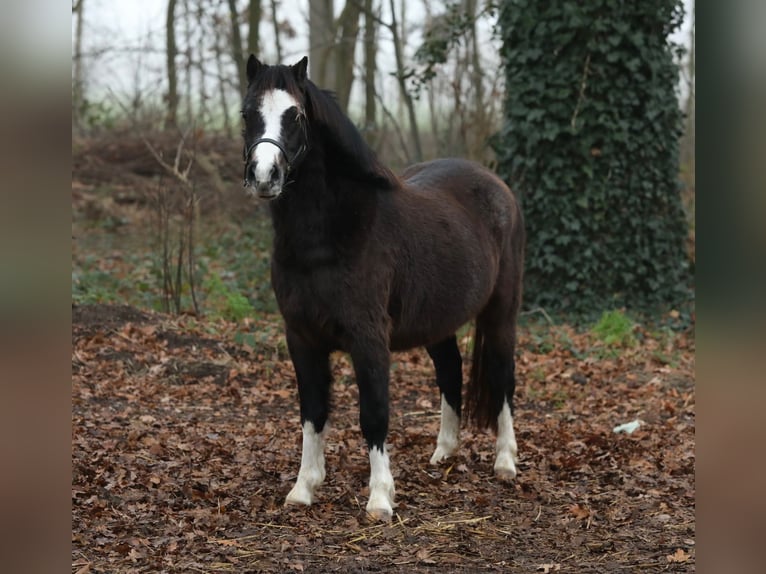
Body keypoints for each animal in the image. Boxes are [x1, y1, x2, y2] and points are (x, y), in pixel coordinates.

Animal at [242, 57, 528, 520]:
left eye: (296, 116)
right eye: (247, 113)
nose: (265, 175)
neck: (328, 236)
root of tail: (497, 186)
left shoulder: (368, 339)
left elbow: (373, 414)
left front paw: (380, 499)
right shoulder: (301, 337)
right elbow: (312, 412)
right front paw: (304, 488)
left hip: (501, 312)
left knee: (503, 378)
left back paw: (505, 461)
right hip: (438, 322)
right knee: (450, 373)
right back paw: (444, 453)